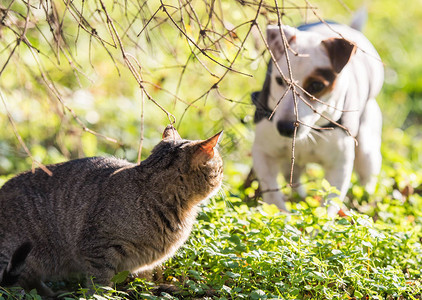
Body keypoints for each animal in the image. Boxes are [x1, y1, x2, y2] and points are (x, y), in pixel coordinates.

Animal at [0, 125, 224, 296]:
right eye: (220, 167)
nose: (223, 176)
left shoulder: (145, 266)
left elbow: (145, 284)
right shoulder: (97, 248)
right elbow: (100, 285)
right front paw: (103, 296)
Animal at [252, 20, 384, 216]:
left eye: (316, 86)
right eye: (279, 81)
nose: (285, 128)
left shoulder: (339, 166)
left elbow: (328, 205)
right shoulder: (263, 152)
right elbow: (273, 195)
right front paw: (283, 218)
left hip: (367, 151)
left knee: (367, 181)